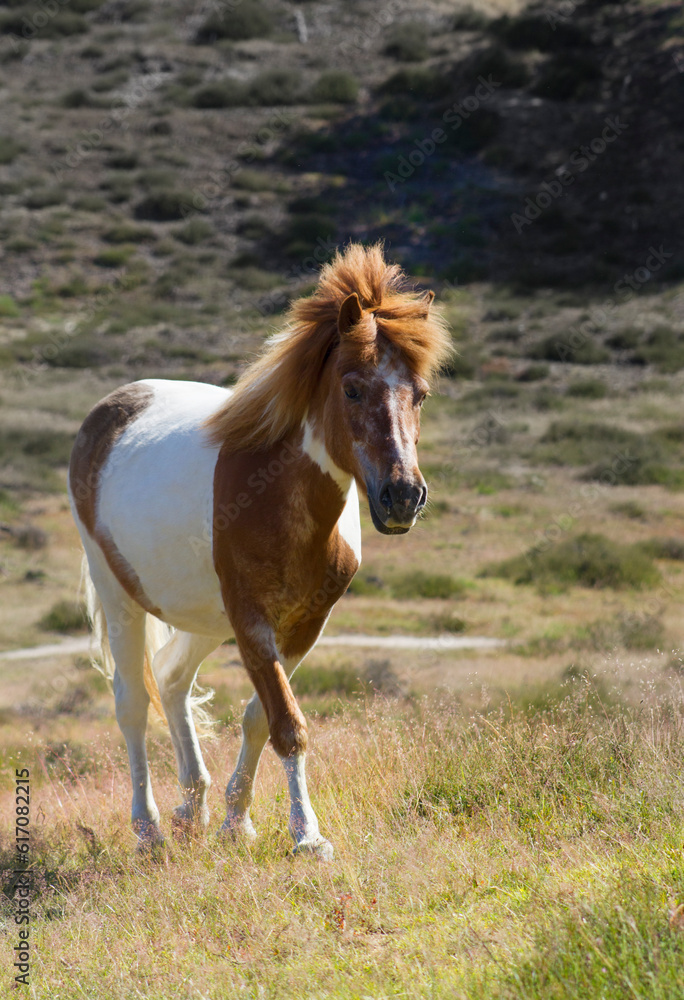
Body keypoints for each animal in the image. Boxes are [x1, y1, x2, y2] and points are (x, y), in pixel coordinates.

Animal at [67, 243, 452, 858]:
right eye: (351, 387)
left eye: (421, 394)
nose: (402, 497)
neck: (276, 494)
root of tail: (107, 412)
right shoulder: (251, 622)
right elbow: (287, 726)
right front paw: (307, 836)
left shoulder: (303, 625)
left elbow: (259, 718)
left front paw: (237, 821)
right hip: (120, 596)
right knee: (132, 704)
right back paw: (149, 830)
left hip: (202, 614)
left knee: (171, 680)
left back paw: (192, 808)